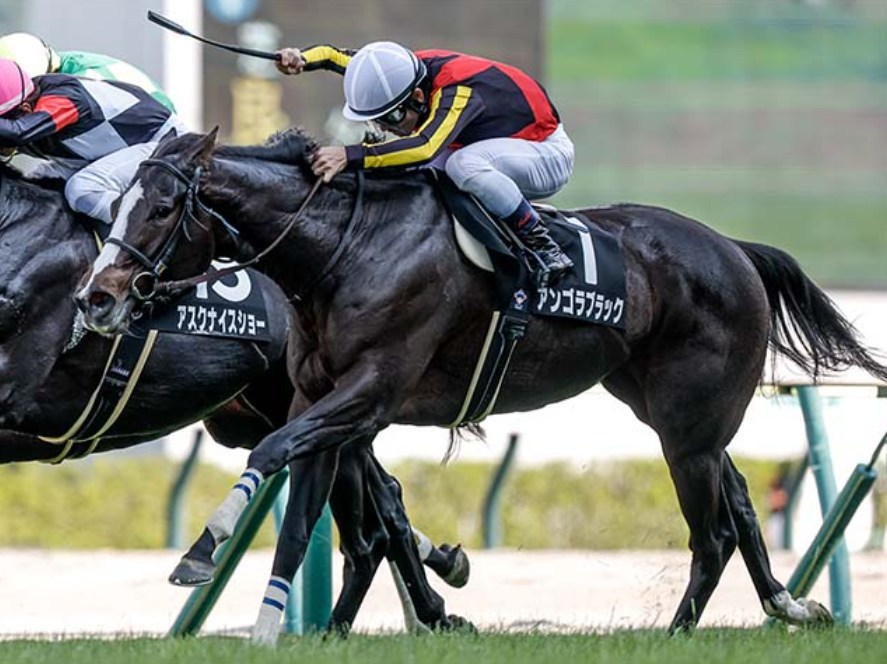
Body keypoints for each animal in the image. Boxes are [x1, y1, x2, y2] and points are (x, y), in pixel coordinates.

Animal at [76, 127, 887, 642]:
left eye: (159, 208)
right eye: (115, 206)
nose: (97, 298)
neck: (346, 247)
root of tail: (733, 249)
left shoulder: (369, 393)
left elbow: (271, 454)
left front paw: (199, 553)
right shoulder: (318, 399)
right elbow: (305, 516)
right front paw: (274, 629)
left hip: (688, 428)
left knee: (712, 531)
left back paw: (679, 633)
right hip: (671, 414)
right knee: (742, 501)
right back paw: (790, 606)